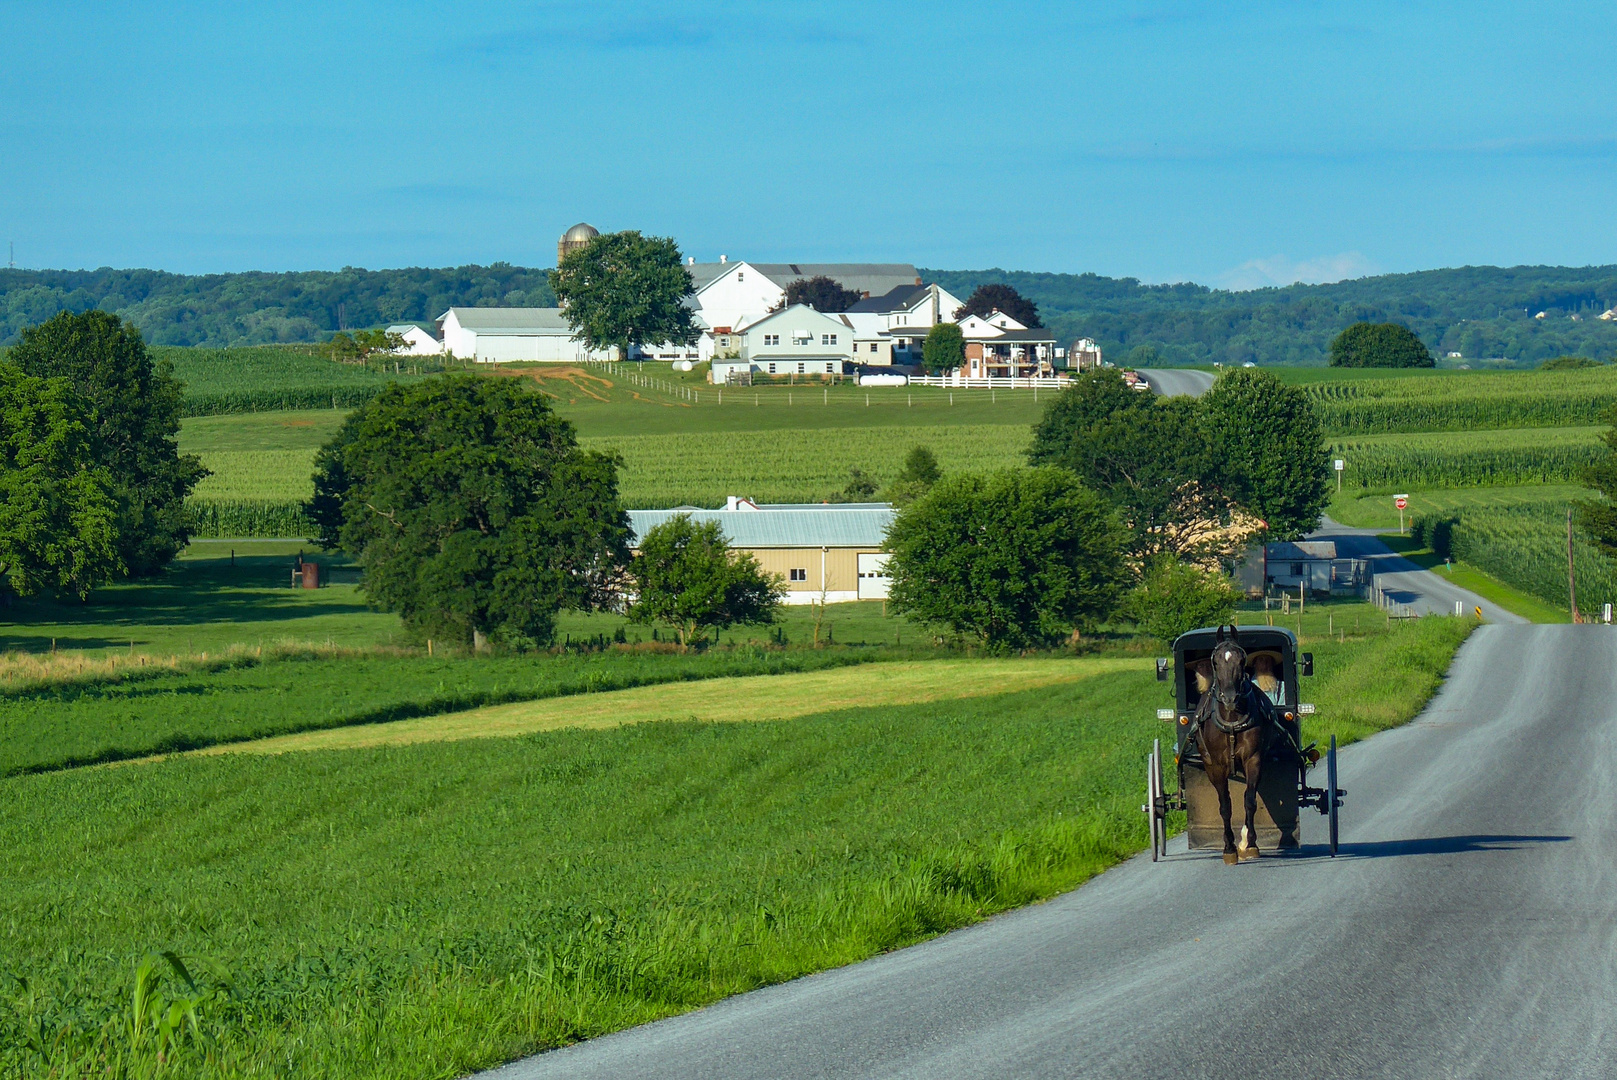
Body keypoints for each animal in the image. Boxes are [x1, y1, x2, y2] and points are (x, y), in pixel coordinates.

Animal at [1190, 627, 1274, 866]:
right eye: (1216, 661)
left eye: (1241, 659)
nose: (1229, 698)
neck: (1231, 721)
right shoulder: (1215, 767)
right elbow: (1225, 806)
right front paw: (1229, 847)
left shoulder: (1253, 759)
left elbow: (1250, 800)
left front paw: (1250, 843)